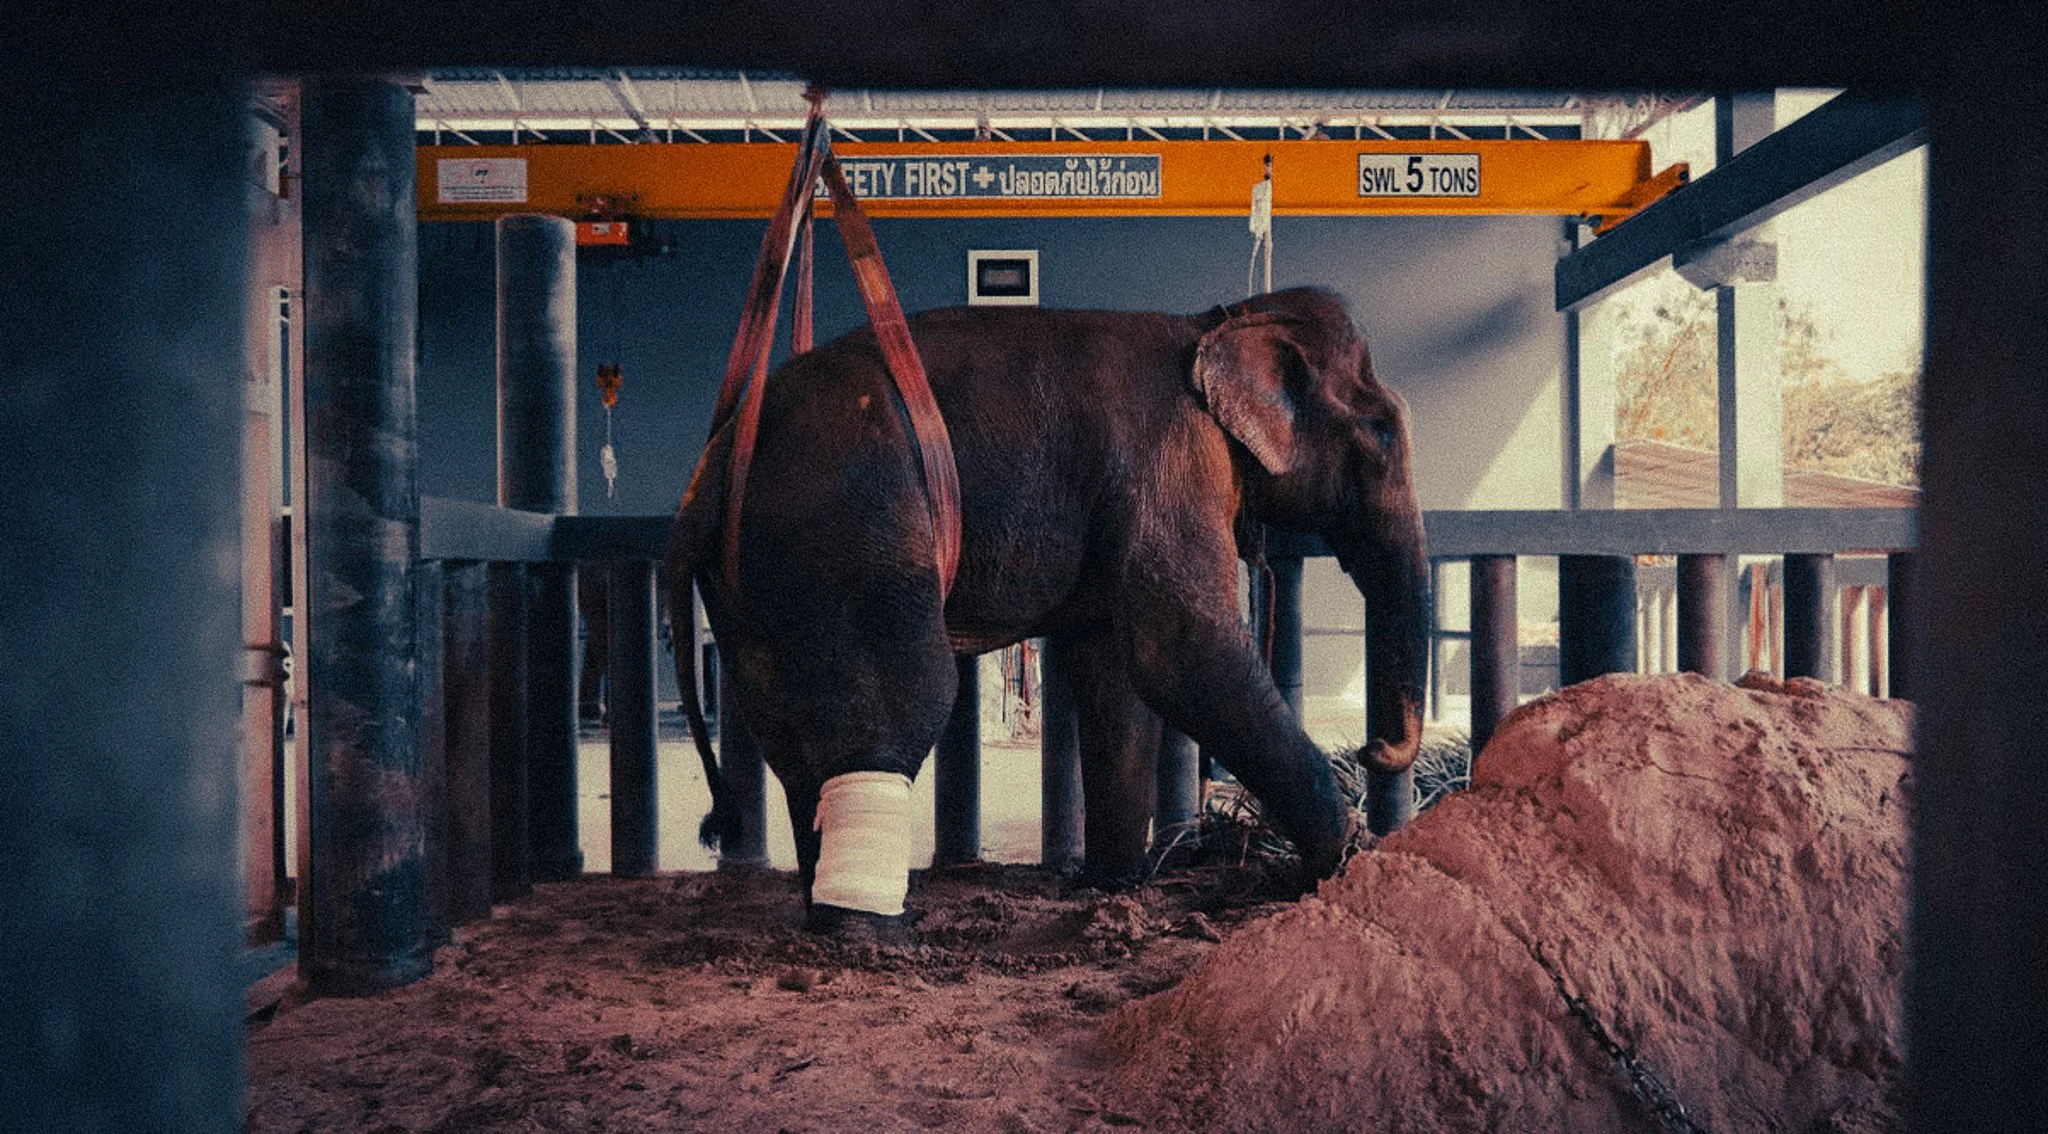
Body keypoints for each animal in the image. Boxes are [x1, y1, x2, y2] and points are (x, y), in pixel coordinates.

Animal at [665, 285, 1429, 939]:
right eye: (1383, 432)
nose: (1371, 749)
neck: (1218, 320)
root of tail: (707, 473)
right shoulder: (1173, 466)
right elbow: (1185, 653)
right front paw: (1351, 858)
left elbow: (1115, 673)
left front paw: (1114, 886)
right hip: (853, 531)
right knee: (906, 699)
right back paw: (871, 933)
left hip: (756, 580)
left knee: (794, 731)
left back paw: (828, 913)